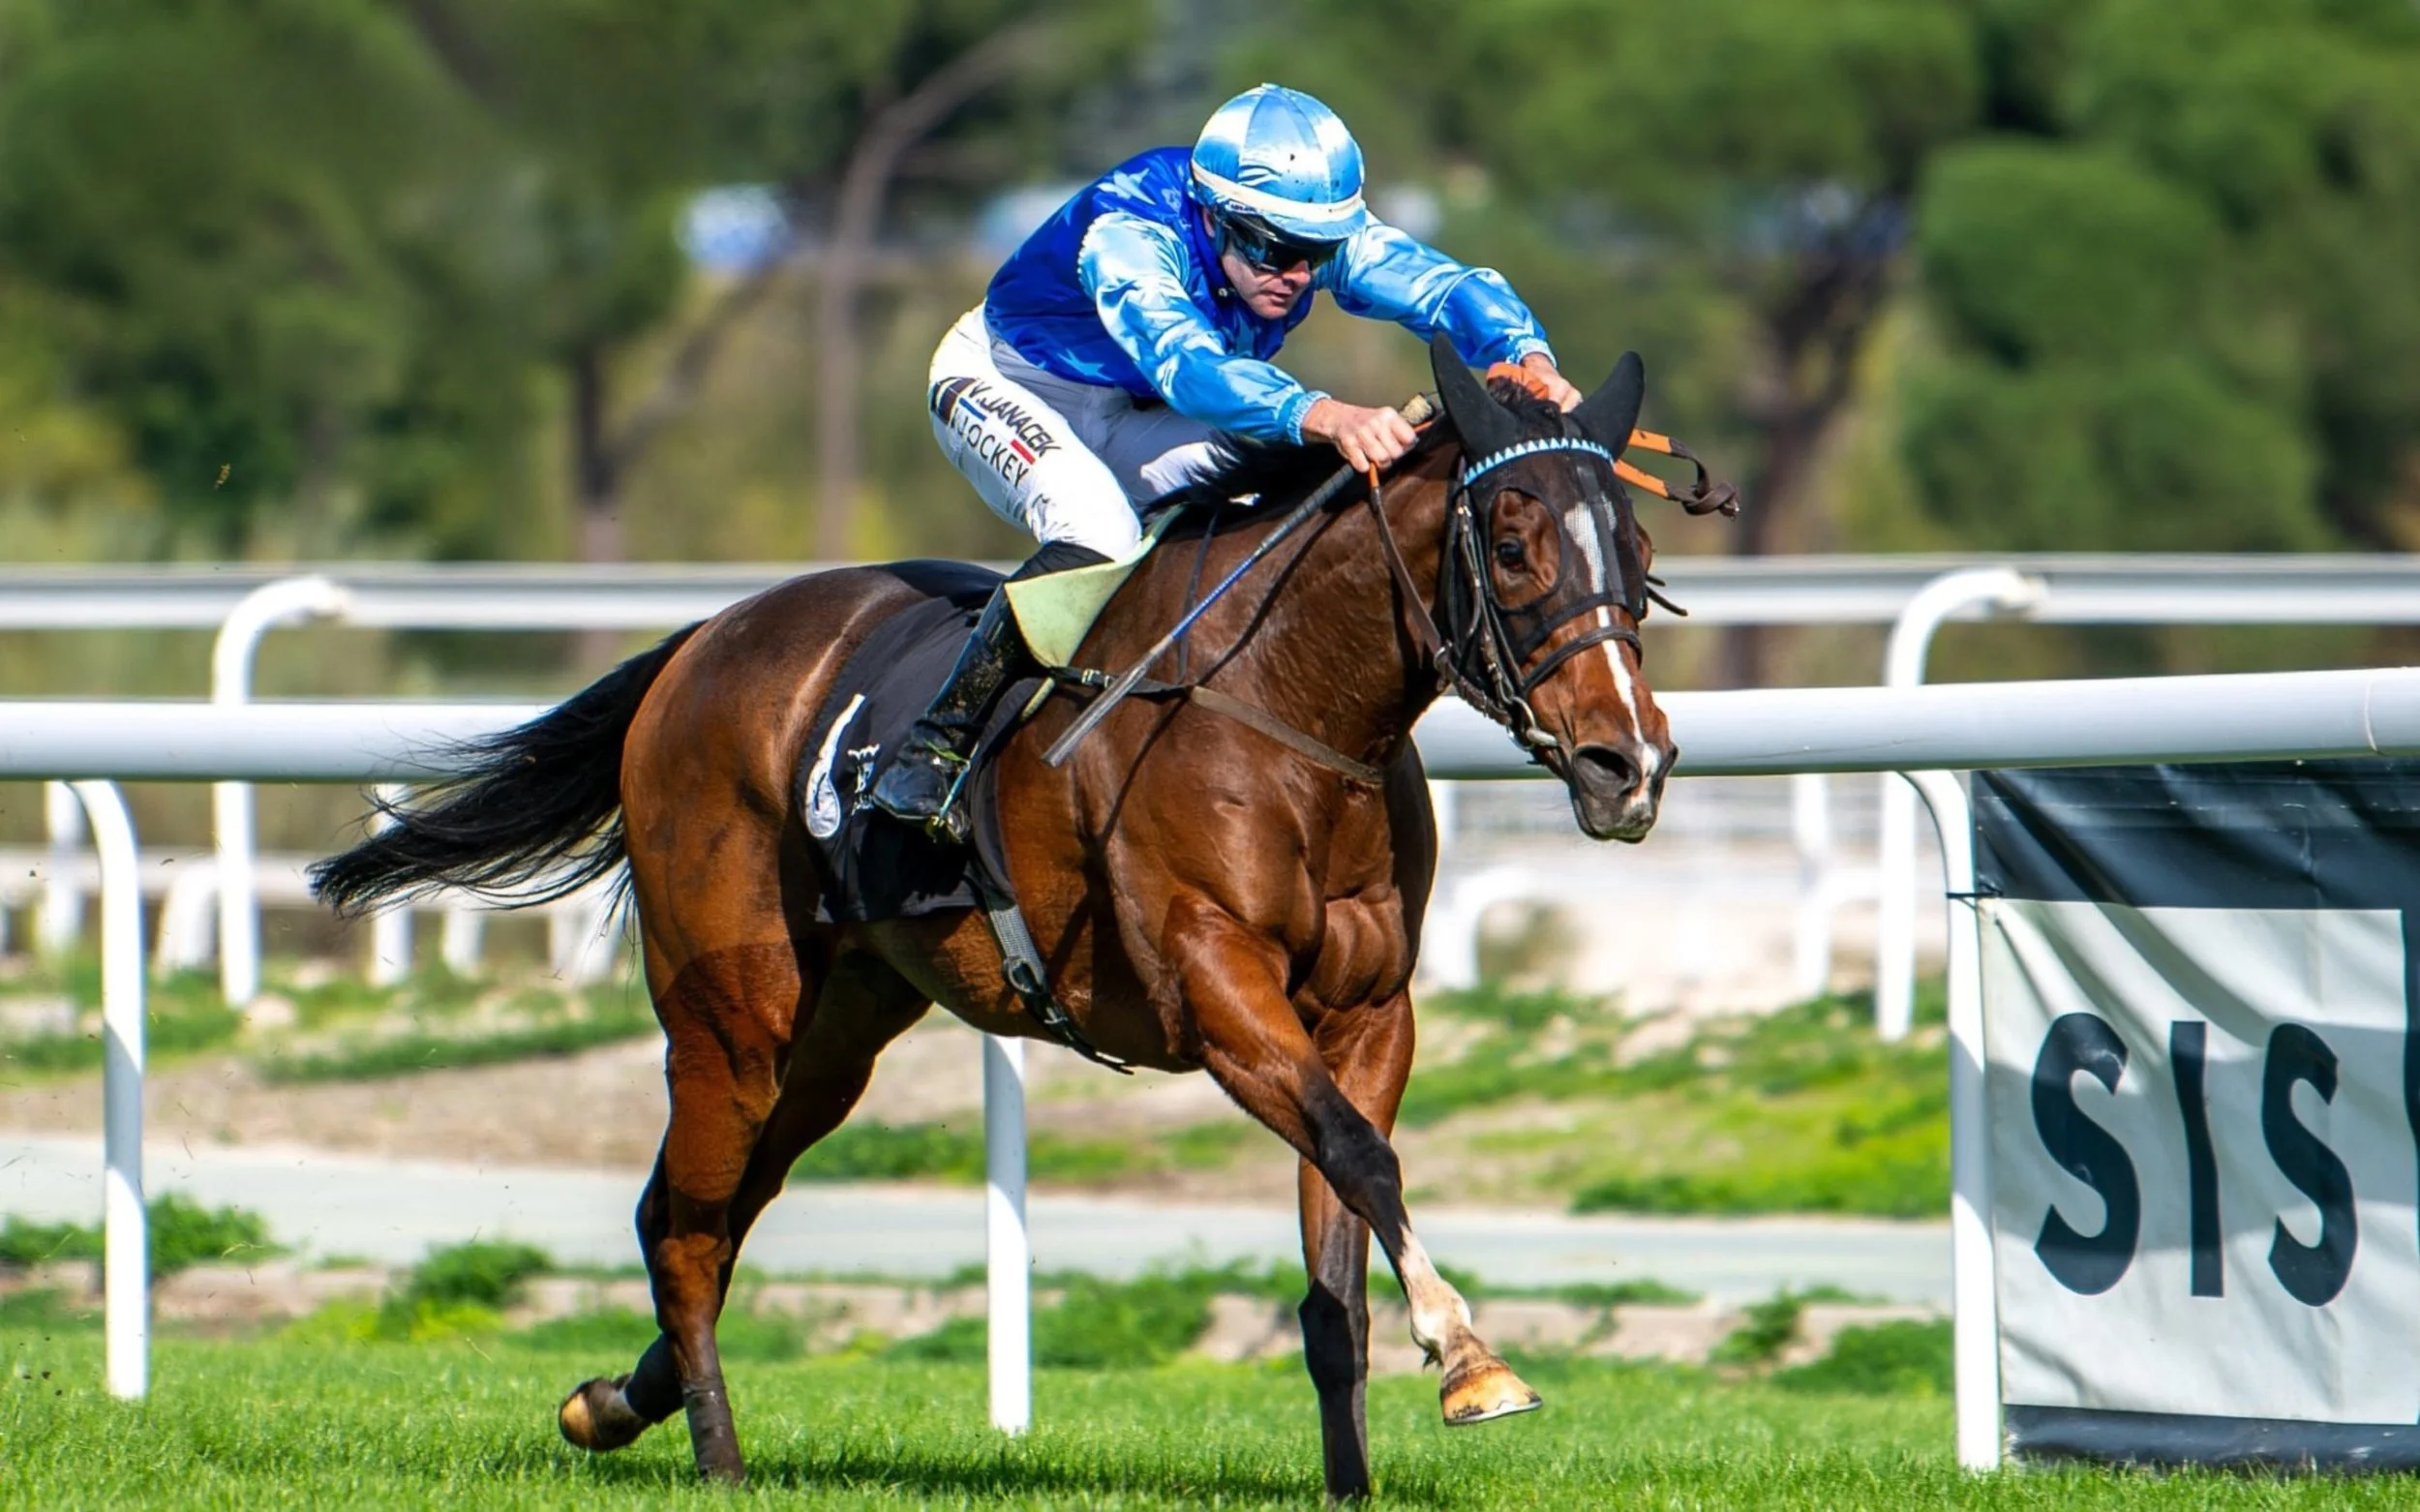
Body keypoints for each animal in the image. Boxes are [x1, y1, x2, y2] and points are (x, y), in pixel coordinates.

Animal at [312, 336, 1693, 1502]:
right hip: (730, 1012)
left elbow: (1334, 1270)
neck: (1286, 705)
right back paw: (717, 1453)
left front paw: (1355, 1474)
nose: (1626, 762)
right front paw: (1469, 1356)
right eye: (1510, 542)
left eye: (1633, 542)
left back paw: (613, 1400)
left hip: (837, 1031)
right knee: (689, 1222)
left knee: (711, 1201)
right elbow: (1366, 1158)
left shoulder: (1363, 1013)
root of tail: (703, 640)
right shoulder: (1215, 985)